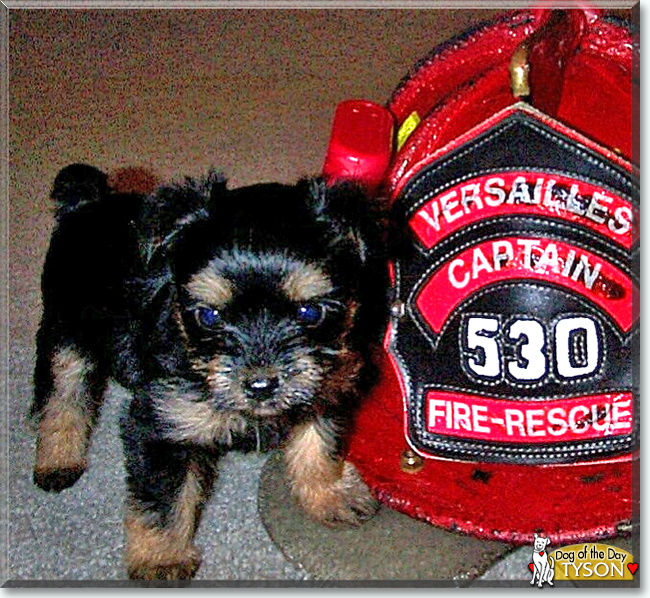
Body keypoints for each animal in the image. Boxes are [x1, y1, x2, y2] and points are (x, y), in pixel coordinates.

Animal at [30, 164, 384, 580]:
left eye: (310, 312)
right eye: (210, 316)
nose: (261, 384)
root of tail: (86, 204)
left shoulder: (327, 379)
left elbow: (320, 441)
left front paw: (329, 493)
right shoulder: (162, 423)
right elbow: (163, 499)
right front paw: (161, 558)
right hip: (65, 330)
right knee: (62, 394)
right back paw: (57, 460)